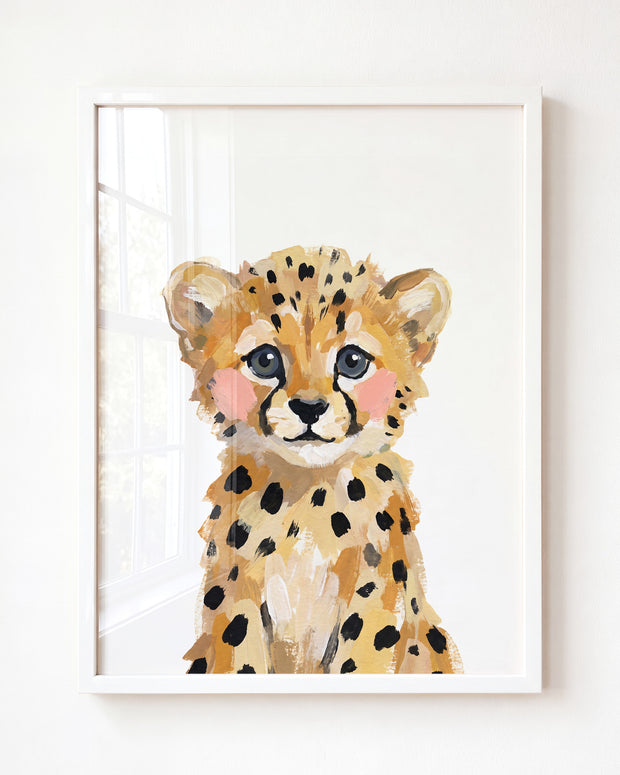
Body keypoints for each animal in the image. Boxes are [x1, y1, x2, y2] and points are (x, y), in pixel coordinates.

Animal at [163, 245, 463, 674]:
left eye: (352, 361)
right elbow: (240, 654)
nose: (309, 408)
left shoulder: (374, 599)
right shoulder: (236, 593)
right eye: (265, 360)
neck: (308, 496)